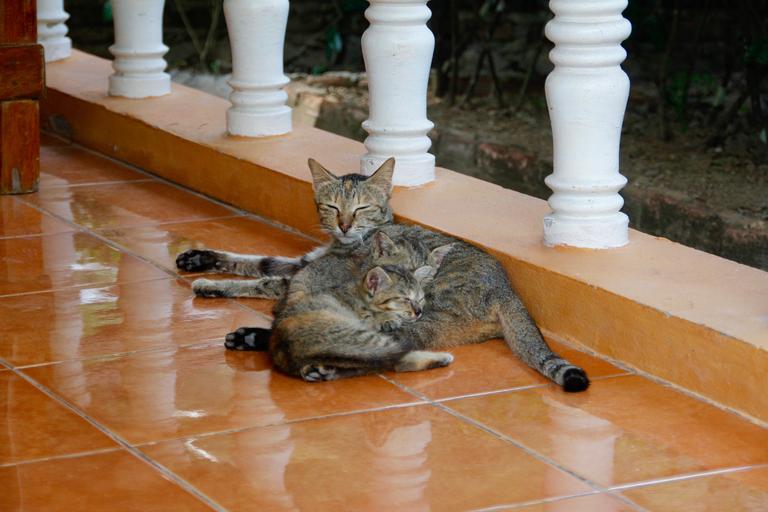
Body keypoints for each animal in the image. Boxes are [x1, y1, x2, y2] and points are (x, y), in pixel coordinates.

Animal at [176, 158, 590, 391]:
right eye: (331, 207)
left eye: (360, 209)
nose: (343, 225)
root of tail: (510, 290)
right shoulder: (304, 262)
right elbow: (256, 260)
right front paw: (201, 262)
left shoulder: (312, 275)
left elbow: (262, 277)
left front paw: (212, 283)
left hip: (416, 314)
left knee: (378, 347)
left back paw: (259, 339)